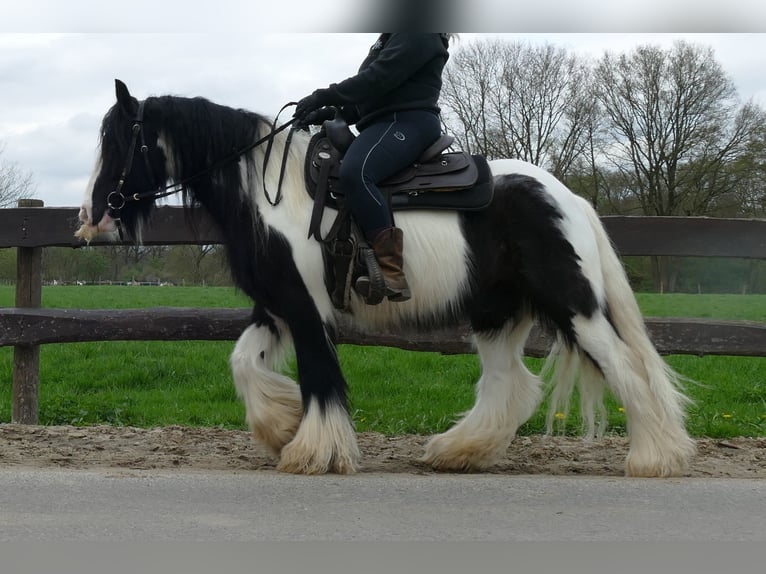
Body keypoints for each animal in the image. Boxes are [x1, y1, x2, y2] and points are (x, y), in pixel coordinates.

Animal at [76, 80, 696, 476]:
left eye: (120, 141)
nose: (90, 214)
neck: (272, 195)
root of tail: (569, 199)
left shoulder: (306, 309)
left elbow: (321, 377)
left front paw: (313, 452)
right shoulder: (275, 308)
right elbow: (243, 364)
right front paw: (280, 425)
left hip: (575, 306)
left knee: (626, 370)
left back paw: (655, 458)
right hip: (496, 315)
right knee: (510, 385)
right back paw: (457, 451)